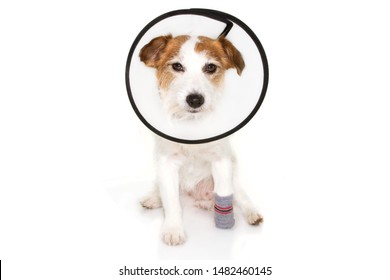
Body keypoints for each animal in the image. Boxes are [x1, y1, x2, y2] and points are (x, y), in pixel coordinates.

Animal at [137, 34, 262, 245]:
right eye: (177, 66)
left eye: (210, 67)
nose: (195, 100)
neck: (192, 126)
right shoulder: (167, 164)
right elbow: (171, 201)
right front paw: (173, 229)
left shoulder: (221, 161)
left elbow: (226, 194)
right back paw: (154, 198)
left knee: (242, 197)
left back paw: (252, 213)